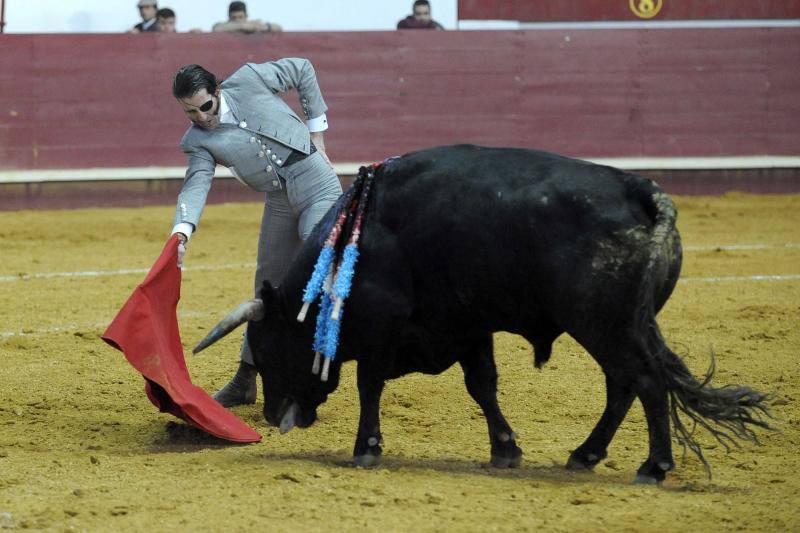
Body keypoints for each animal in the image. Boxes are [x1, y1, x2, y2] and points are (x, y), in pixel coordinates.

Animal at [195, 144, 768, 482]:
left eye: (270, 347)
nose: (272, 416)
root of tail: (644, 192)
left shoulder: (385, 327)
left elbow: (369, 385)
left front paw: (367, 447)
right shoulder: (467, 327)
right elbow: (483, 386)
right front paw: (505, 450)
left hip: (606, 325)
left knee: (644, 382)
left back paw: (652, 466)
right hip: (622, 326)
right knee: (625, 384)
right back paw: (584, 455)